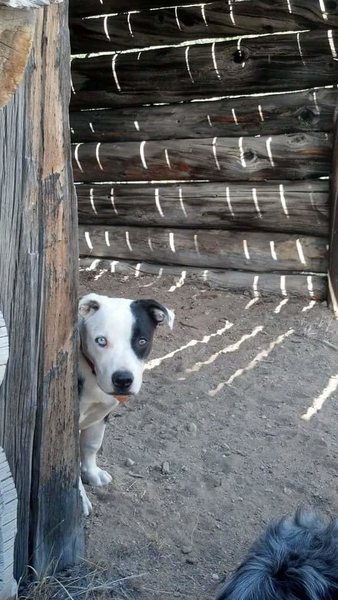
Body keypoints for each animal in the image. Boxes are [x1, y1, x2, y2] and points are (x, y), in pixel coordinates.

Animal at [77, 292, 174, 512]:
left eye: (142, 341)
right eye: (101, 341)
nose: (123, 380)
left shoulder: (101, 414)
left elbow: (91, 445)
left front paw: (92, 474)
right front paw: (79, 497)